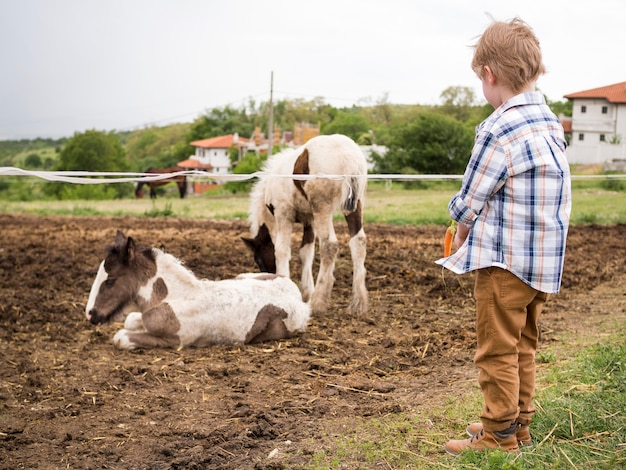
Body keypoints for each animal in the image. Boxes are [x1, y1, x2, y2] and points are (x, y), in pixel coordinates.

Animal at [85, 231, 310, 348]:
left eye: (110, 280)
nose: (90, 314)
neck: (173, 298)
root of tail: (299, 297)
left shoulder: (176, 340)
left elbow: (121, 337)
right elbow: (131, 319)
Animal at [239, 133, 366, 316]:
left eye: (258, 259)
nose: (268, 278)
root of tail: (348, 156)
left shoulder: (284, 214)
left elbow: (282, 250)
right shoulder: (309, 220)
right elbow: (306, 252)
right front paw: (306, 292)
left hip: (322, 208)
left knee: (329, 245)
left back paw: (318, 302)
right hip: (354, 206)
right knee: (358, 242)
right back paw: (358, 304)